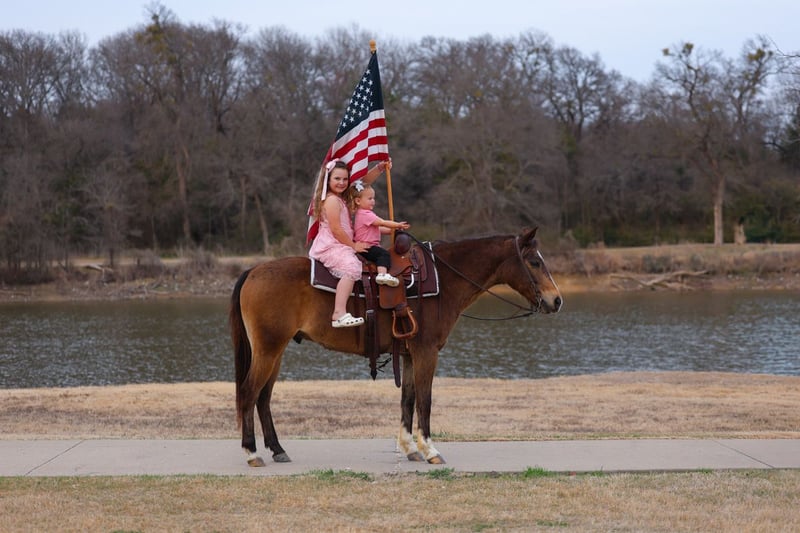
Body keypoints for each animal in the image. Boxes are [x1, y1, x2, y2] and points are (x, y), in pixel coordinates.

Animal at [229, 227, 562, 467]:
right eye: (534, 262)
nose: (556, 300)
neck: (443, 280)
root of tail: (253, 271)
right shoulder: (427, 352)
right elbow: (425, 401)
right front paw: (430, 450)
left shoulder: (410, 354)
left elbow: (408, 400)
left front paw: (409, 447)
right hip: (269, 349)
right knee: (249, 392)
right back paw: (251, 452)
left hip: (275, 351)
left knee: (263, 399)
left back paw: (277, 449)